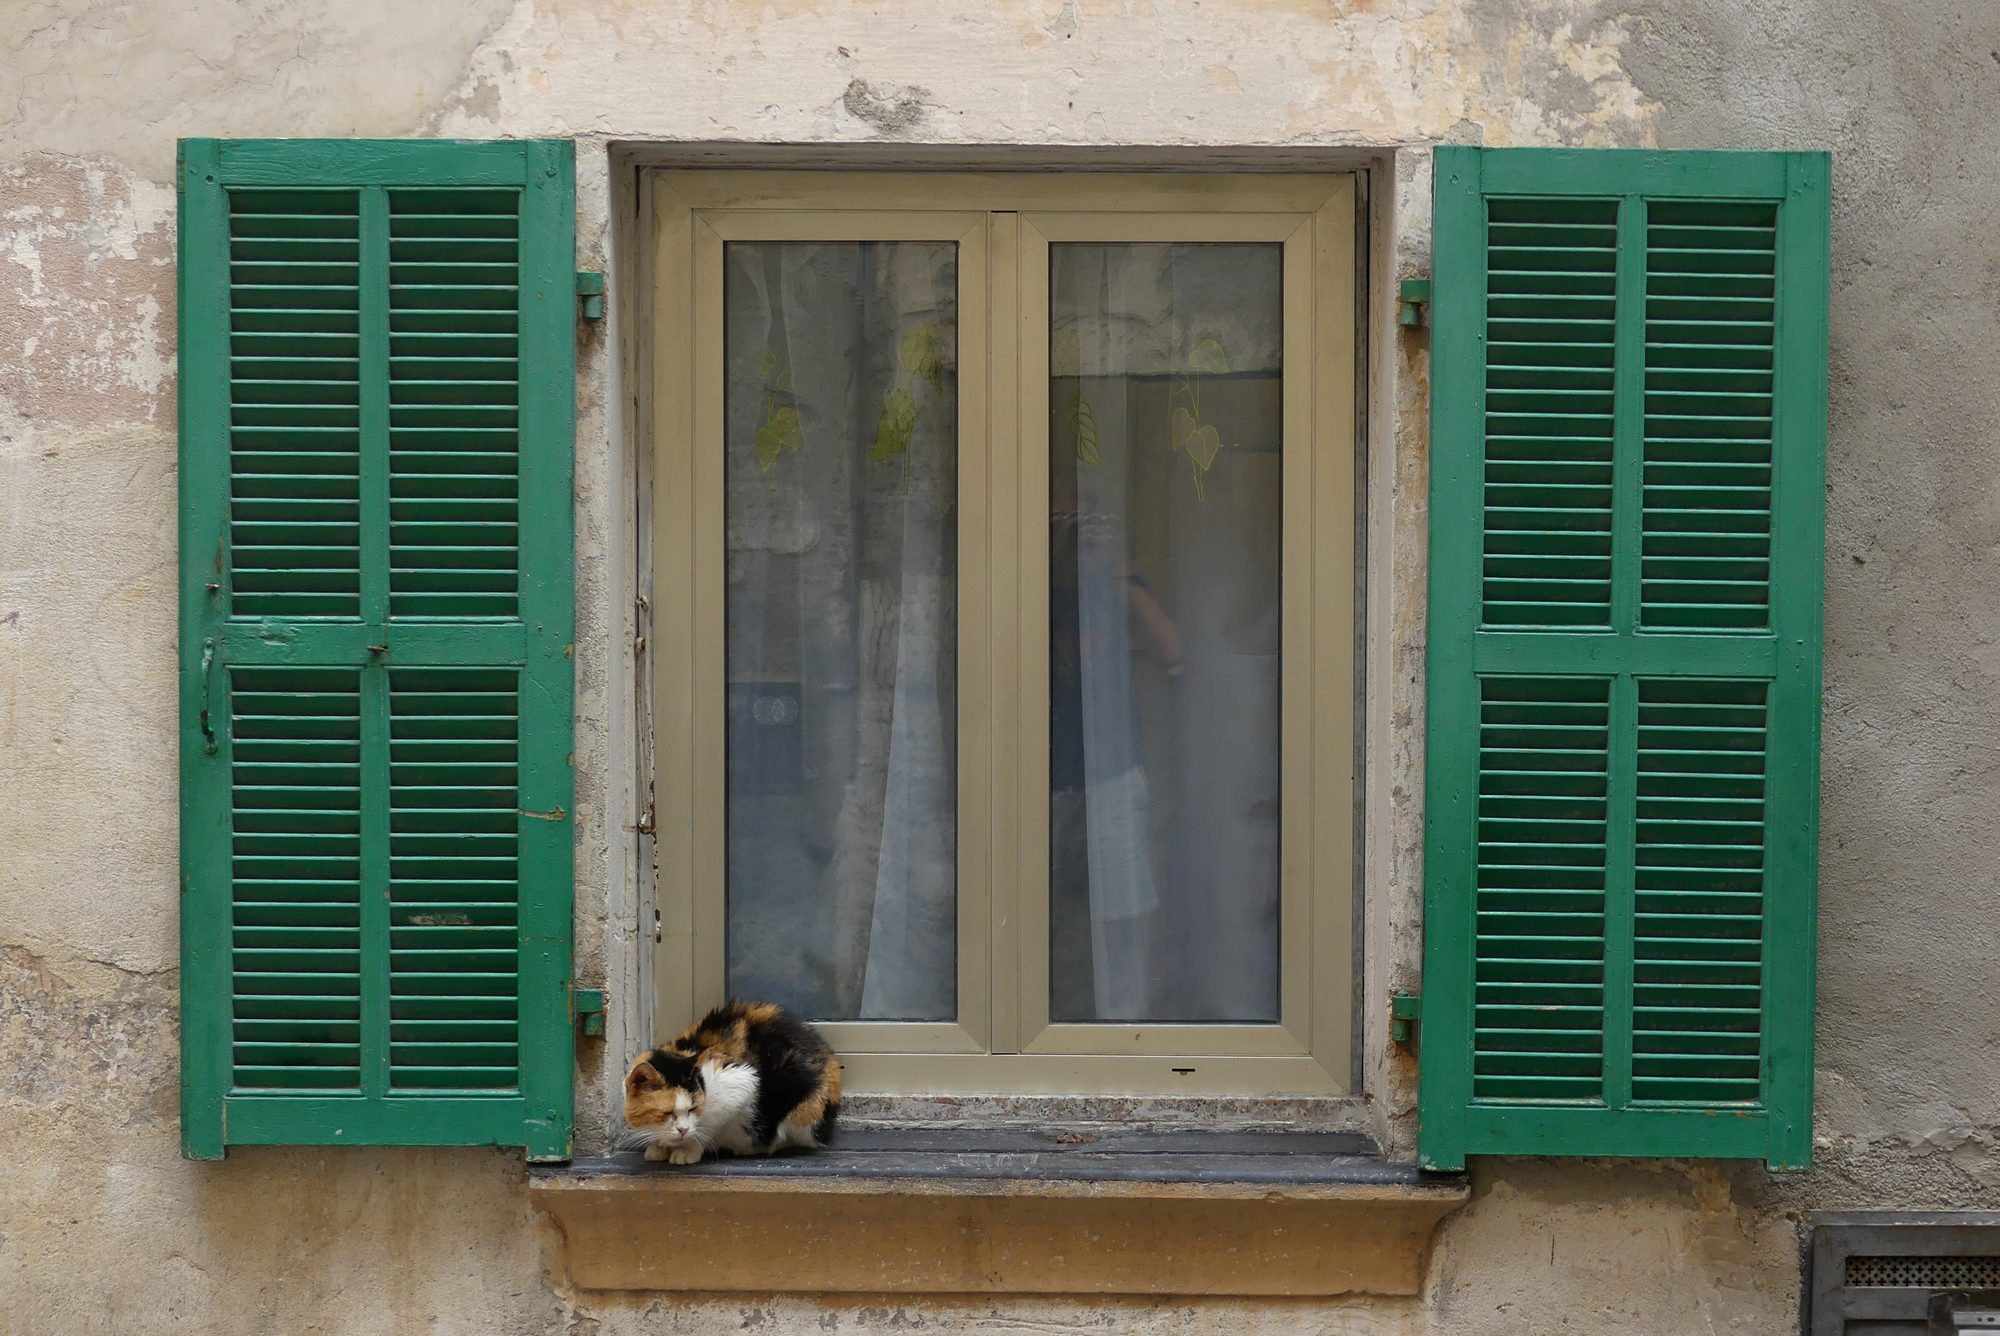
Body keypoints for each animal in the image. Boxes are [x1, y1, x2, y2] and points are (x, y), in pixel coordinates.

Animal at [624, 996, 844, 1160]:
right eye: (666, 1113)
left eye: (693, 1108)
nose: (683, 1130)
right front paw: (657, 1147)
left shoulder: (742, 1082)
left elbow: (710, 1125)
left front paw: (687, 1151)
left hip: (801, 1106)